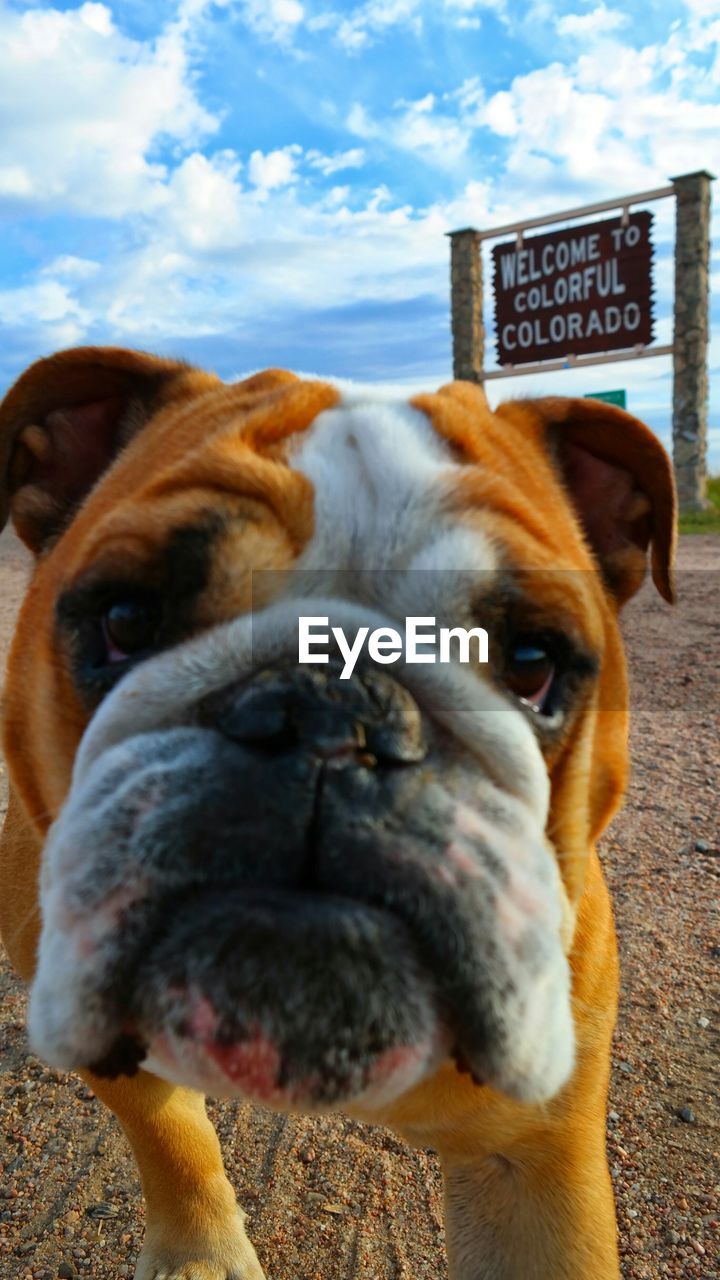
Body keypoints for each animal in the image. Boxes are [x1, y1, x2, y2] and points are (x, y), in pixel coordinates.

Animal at [0, 345, 671, 1274]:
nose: (327, 713)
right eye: (126, 617)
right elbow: (168, 1133)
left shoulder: (537, 1166)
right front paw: (199, 1253)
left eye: (533, 662)